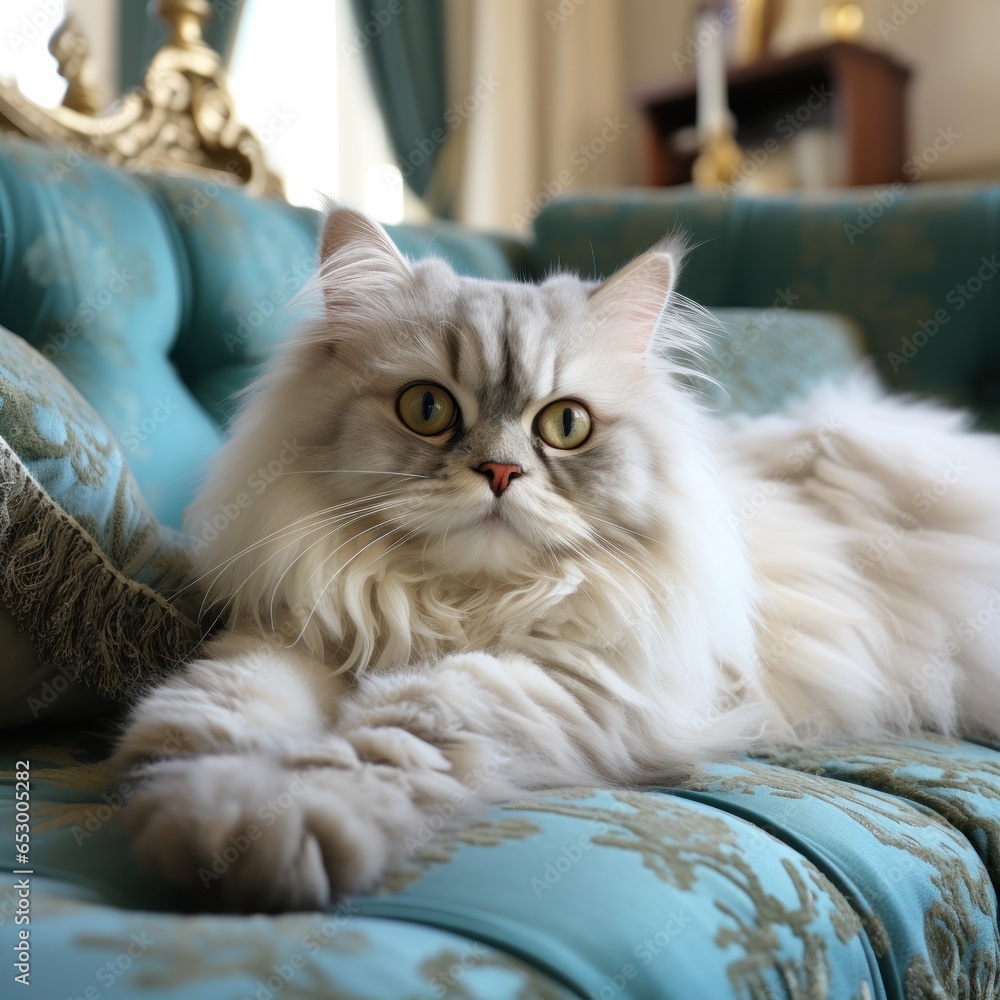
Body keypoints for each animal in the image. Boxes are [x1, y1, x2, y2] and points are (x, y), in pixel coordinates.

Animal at [113, 207, 1000, 912]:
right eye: (427, 409)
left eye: (565, 425)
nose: (501, 473)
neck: (452, 605)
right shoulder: (294, 637)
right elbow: (218, 712)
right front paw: (203, 810)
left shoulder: (563, 681)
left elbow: (391, 733)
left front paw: (273, 824)